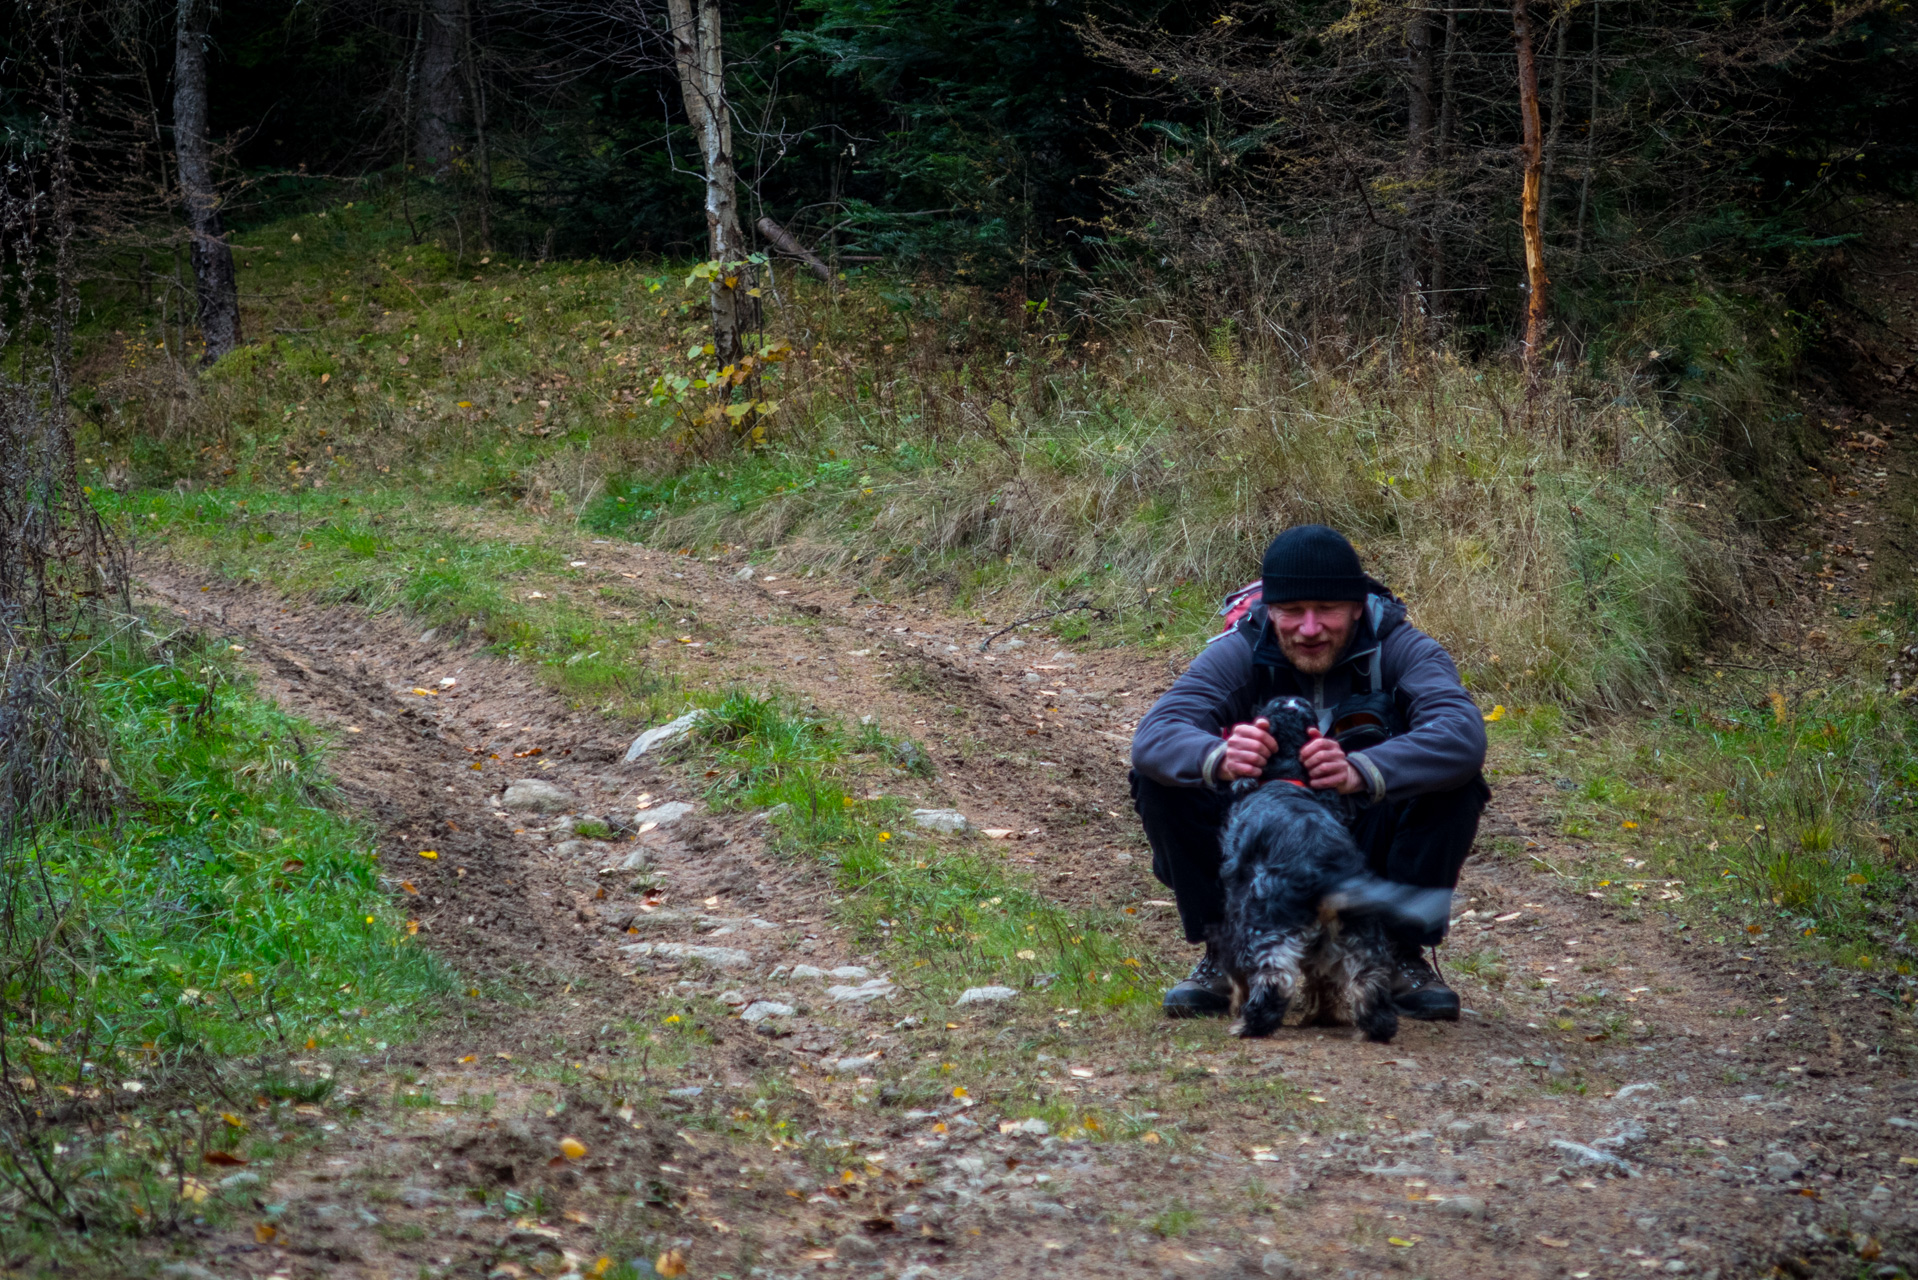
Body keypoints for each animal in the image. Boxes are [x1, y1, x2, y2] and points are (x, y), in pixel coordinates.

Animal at [1212, 702, 1450, 1043]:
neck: (1287, 780)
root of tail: (1331, 873)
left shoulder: (1236, 906)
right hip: (1361, 932)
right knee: (1368, 981)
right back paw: (1371, 1029)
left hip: (1268, 923)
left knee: (1274, 980)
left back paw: (1248, 1025)